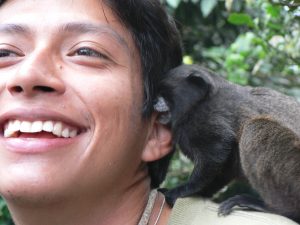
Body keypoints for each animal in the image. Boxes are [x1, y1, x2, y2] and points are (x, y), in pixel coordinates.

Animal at [155, 64, 300, 222]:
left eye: (165, 93)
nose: (154, 102)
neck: (197, 104)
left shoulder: (206, 119)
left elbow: (216, 154)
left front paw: (181, 191)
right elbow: (225, 167)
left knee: (254, 127)